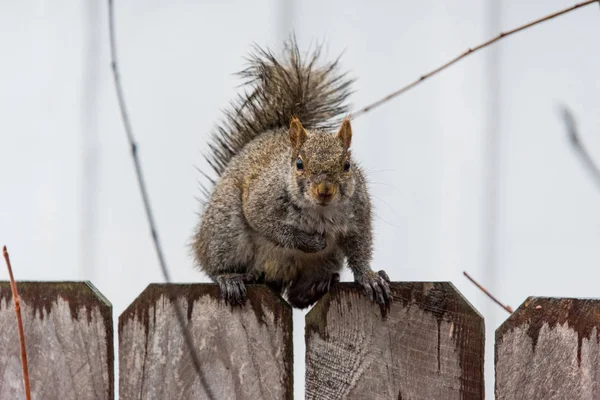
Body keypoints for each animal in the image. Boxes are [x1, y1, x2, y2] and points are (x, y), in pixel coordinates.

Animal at [190, 39, 392, 310]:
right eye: (299, 163)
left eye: (347, 165)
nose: (324, 191)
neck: (319, 210)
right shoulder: (261, 201)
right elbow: (271, 226)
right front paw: (310, 241)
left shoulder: (358, 214)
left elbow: (359, 247)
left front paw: (369, 277)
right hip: (225, 230)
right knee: (217, 265)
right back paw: (231, 278)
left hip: (325, 261)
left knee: (296, 296)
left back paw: (314, 288)